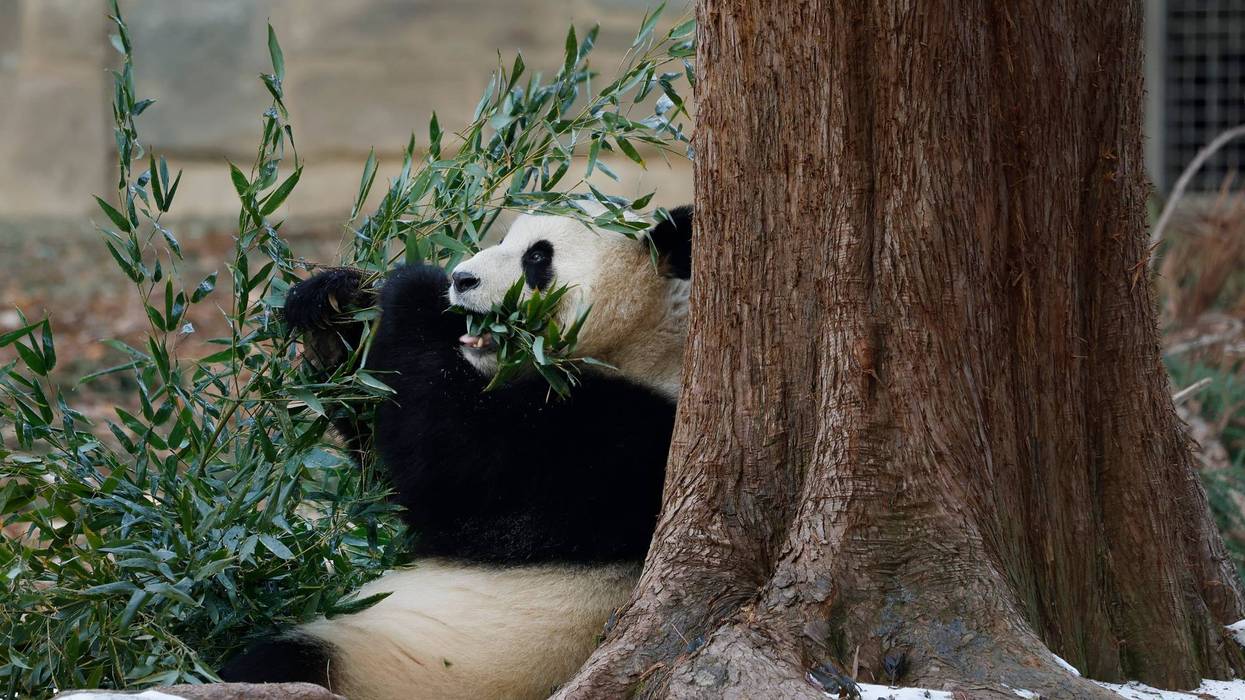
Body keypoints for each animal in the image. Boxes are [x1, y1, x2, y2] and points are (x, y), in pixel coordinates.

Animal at [219, 204, 693, 700]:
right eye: (506, 239)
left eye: (537, 257)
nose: (462, 279)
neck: (646, 343)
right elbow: (384, 450)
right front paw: (332, 306)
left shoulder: (613, 444)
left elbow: (448, 461)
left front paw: (414, 284)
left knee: (280, 662)